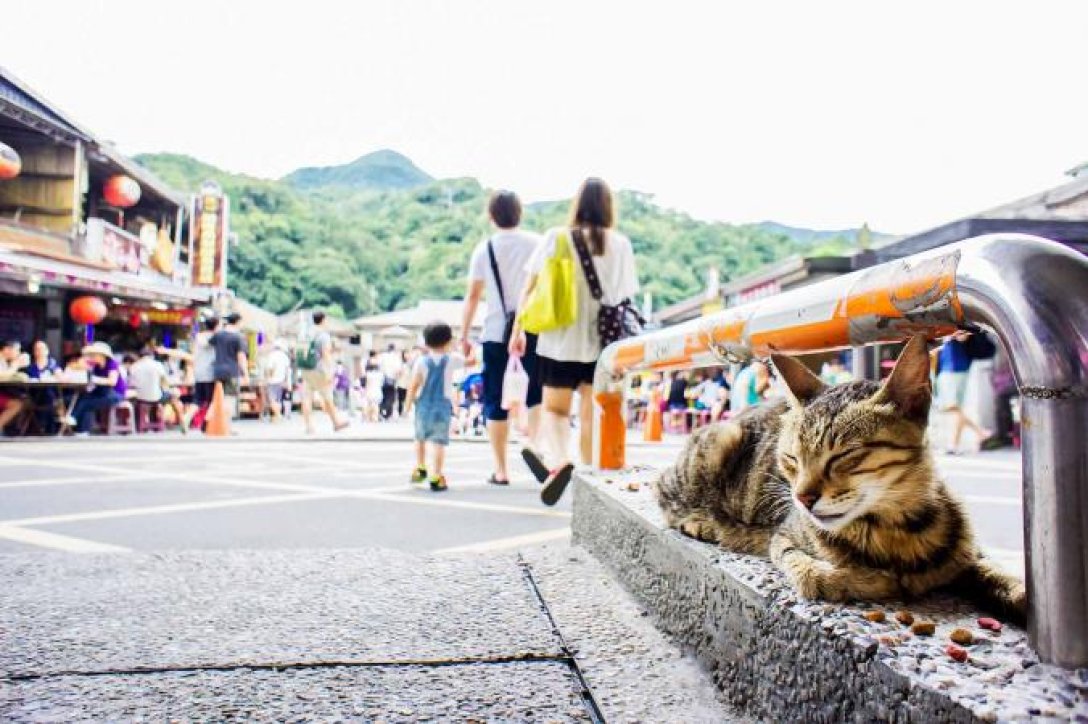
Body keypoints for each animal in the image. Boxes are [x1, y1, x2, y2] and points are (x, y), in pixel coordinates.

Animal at [652, 335, 1027, 622]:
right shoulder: (784, 540)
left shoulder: (969, 555)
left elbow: (1000, 576)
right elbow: (817, 575)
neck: (893, 528)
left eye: (843, 456)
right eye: (791, 459)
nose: (802, 498)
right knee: (664, 491)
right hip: (720, 439)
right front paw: (878, 580)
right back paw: (701, 521)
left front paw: (1019, 594)